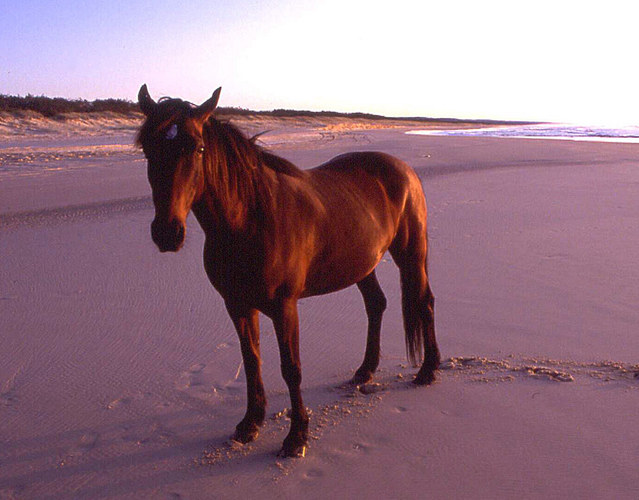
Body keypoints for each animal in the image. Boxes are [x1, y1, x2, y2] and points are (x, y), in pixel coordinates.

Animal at [136, 86, 440, 458]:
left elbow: (290, 368)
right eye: (148, 148)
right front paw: (250, 423)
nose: (167, 233)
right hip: (361, 263)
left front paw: (297, 436)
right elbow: (252, 361)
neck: (250, 219)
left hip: (411, 254)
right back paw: (365, 371)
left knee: (424, 301)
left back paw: (428, 370)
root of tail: (404, 169)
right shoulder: (237, 306)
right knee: (376, 305)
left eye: (197, 148)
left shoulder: (284, 307)